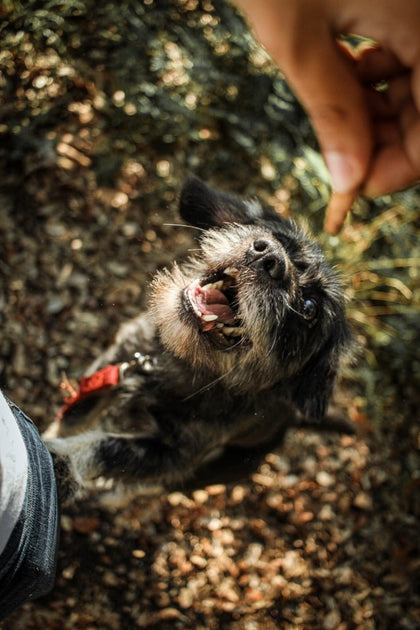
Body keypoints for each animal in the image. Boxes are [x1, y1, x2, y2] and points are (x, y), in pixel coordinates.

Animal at [44, 175, 352, 502]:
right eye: (278, 237)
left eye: (310, 308)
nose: (269, 255)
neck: (180, 363)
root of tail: (291, 420)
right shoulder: (113, 367)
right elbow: (74, 415)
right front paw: (47, 438)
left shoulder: (173, 454)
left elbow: (106, 448)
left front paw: (64, 460)